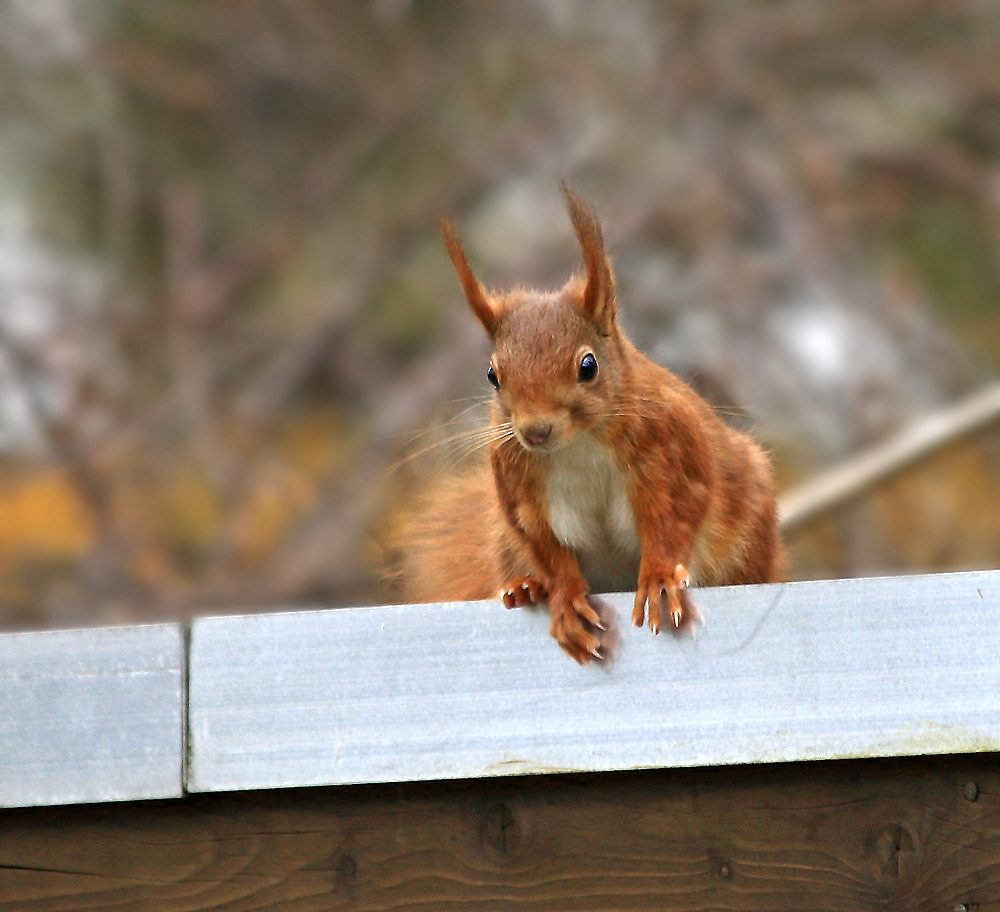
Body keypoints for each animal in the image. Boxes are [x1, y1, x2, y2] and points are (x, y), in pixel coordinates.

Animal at [396, 183, 780, 664]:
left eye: (588, 365)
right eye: (492, 375)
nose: (535, 430)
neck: (576, 446)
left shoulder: (670, 454)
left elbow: (672, 521)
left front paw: (659, 578)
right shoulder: (519, 491)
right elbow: (547, 549)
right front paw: (562, 599)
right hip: (501, 538)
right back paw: (525, 587)